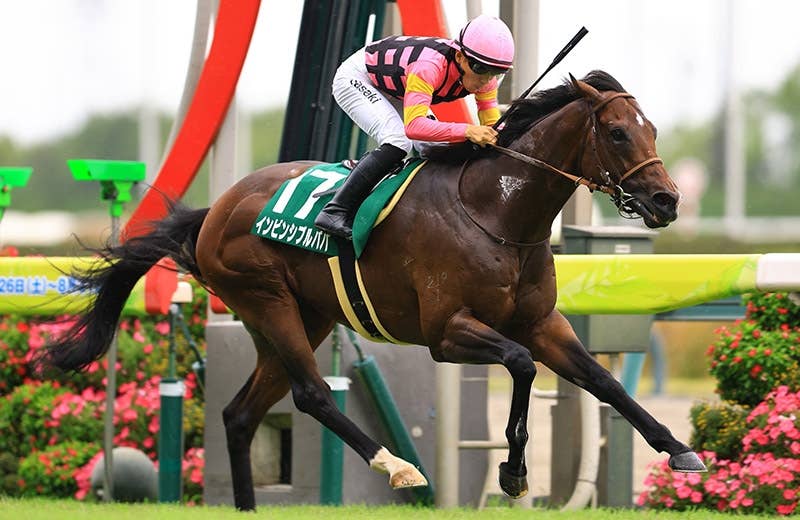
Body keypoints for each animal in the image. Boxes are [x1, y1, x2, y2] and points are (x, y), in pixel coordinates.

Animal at [41, 71, 706, 511]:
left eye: (650, 129)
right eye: (616, 133)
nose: (666, 200)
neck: (497, 211)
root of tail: (215, 212)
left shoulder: (544, 323)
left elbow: (602, 380)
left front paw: (678, 448)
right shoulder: (447, 333)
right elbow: (519, 365)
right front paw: (513, 471)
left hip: (299, 318)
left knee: (240, 413)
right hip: (268, 301)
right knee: (311, 394)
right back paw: (397, 466)